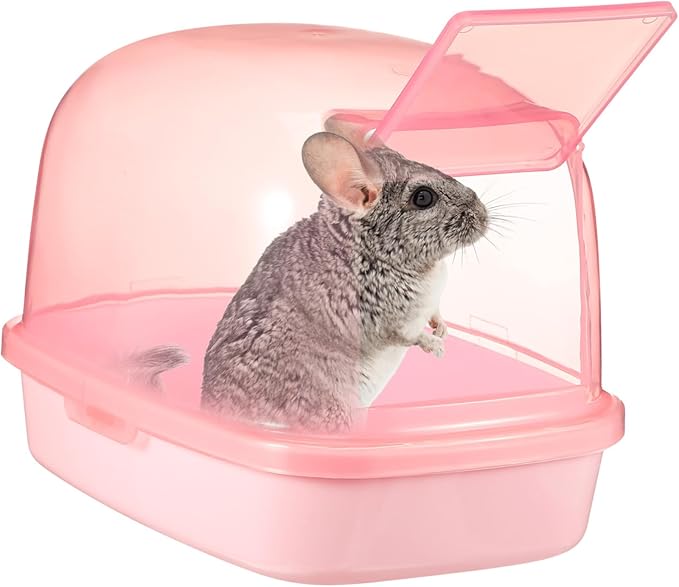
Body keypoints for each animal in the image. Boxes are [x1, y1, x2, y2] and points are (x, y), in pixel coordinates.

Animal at [131, 118, 488, 432]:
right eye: (423, 197)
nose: (484, 216)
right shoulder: (385, 318)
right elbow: (410, 335)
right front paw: (437, 347)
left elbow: (435, 313)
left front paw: (443, 329)